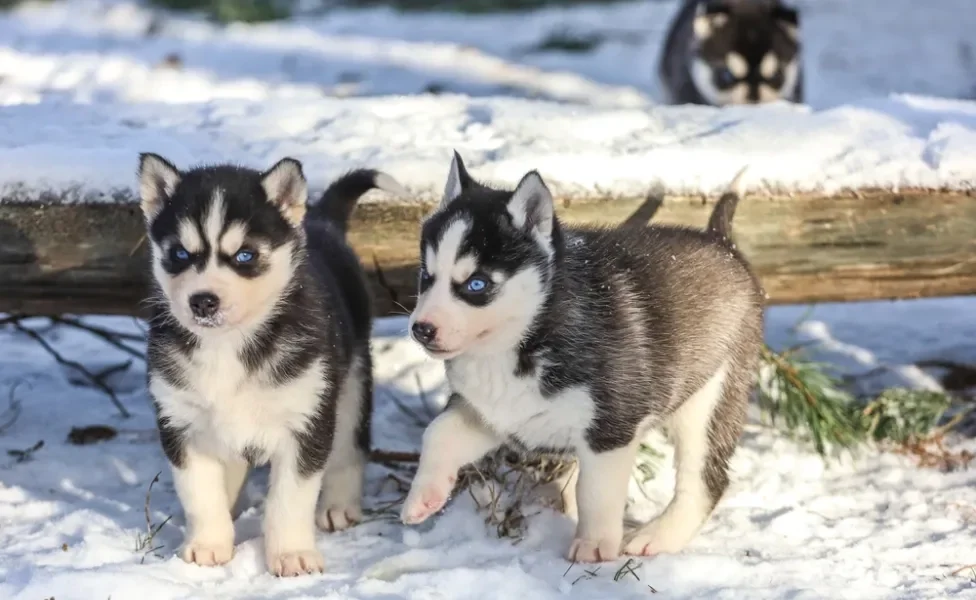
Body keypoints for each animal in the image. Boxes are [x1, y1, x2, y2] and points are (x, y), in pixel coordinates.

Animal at [137, 155, 400, 576]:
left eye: (245, 255)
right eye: (180, 254)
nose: (203, 301)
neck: (228, 345)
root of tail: (321, 221)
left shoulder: (305, 423)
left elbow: (289, 500)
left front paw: (292, 555)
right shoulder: (180, 422)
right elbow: (200, 494)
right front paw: (208, 544)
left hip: (351, 384)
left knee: (349, 447)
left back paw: (339, 506)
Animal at [400, 154, 768, 564]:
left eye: (477, 284)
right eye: (426, 275)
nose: (421, 329)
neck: (525, 339)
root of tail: (720, 242)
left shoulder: (611, 427)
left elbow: (596, 491)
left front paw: (593, 546)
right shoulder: (489, 412)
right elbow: (437, 432)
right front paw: (423, 496)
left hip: (711, 397)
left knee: (705, 479)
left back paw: (658, 536)